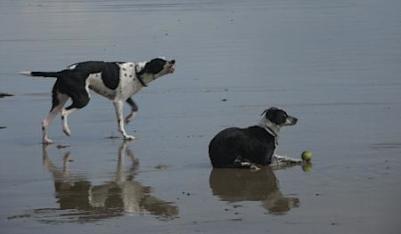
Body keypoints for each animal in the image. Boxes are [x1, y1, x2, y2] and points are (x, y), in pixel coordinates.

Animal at [20, 57, 175, 144]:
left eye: (165, 58)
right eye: (161, 62)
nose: (174, 61)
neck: (137, 71)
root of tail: (63, 72)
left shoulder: (126, 98)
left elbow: (136, 108)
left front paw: (129, 118)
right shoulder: (118, 102)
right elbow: (120, 123)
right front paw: (125, 135)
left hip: (58, 101)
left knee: (45, 121)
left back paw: (46, 141)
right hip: (83, 99)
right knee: (64, 112)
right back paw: (66, 130)